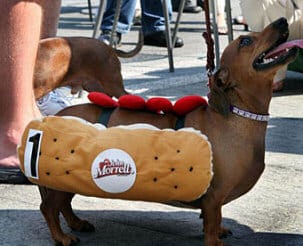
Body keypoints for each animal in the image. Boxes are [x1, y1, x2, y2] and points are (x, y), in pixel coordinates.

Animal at [37, 18, 296, 246]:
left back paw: (77, 223)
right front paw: (215, 239)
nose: (283, 20)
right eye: (245, 41)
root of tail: (49, 119)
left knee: (62, 205)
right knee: (48, 207)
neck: (235, 117)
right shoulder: (213, 198)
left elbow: (214, 221)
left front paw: (221, 230)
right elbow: (212, 224)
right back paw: (61, 237)